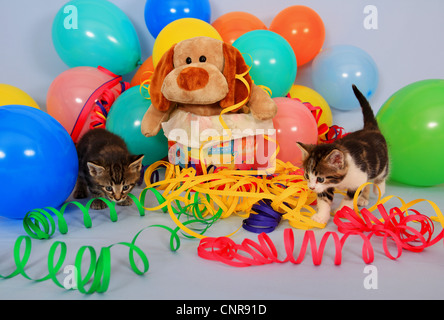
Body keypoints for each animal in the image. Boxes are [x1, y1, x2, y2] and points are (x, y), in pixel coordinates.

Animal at [298, 85, 388, 225]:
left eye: (320, 179)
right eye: (307, 176)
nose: (311, 188)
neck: (341, 180)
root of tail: (370, 128)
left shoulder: (358, 178)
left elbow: (349, 198)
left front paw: (342, 211)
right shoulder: (326, 187)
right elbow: (324, 200)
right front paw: (321, 217)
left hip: (380, 162)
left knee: (382, 174)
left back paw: (379, 188)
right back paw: (363, 198)